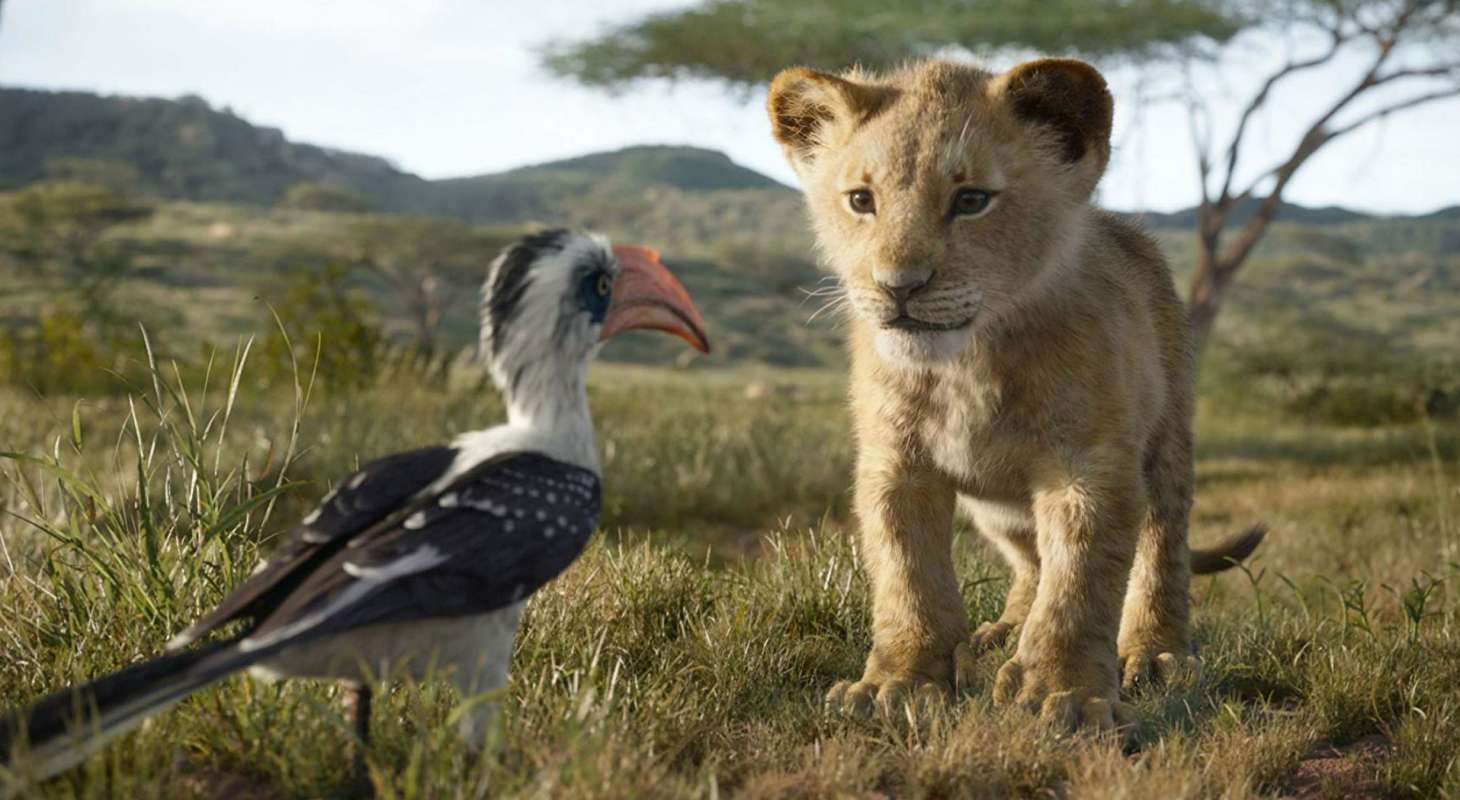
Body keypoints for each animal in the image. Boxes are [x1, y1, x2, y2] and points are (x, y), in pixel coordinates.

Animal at [766, 58, 1264, 731]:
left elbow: (1080, 582)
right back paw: (999, 633)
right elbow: (907, 576)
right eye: (861, 201)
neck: (967, 364)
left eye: (972, 200)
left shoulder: (1089, 466)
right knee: (1030, 561)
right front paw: (897, 684)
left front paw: (1066, 694)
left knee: (1161, 547)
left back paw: (1155, 653)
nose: (899, 286)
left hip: (1167, 444)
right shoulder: (895, 465)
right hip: (996, 508)